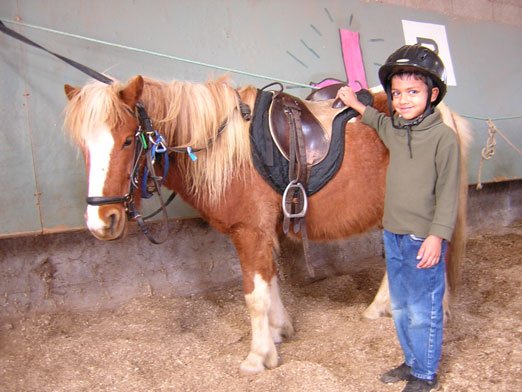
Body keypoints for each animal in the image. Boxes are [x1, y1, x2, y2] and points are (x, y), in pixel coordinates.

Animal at [63, 75, 470, 376]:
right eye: (83, 147)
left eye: (127, 140)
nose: (101, 221)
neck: (224, 147)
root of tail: (444, 116)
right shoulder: (263, 232)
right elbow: (271, 281)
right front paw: (278, 331)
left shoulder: (250, 232)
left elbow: (254, 294)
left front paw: (258, 357)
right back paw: (380, 308)